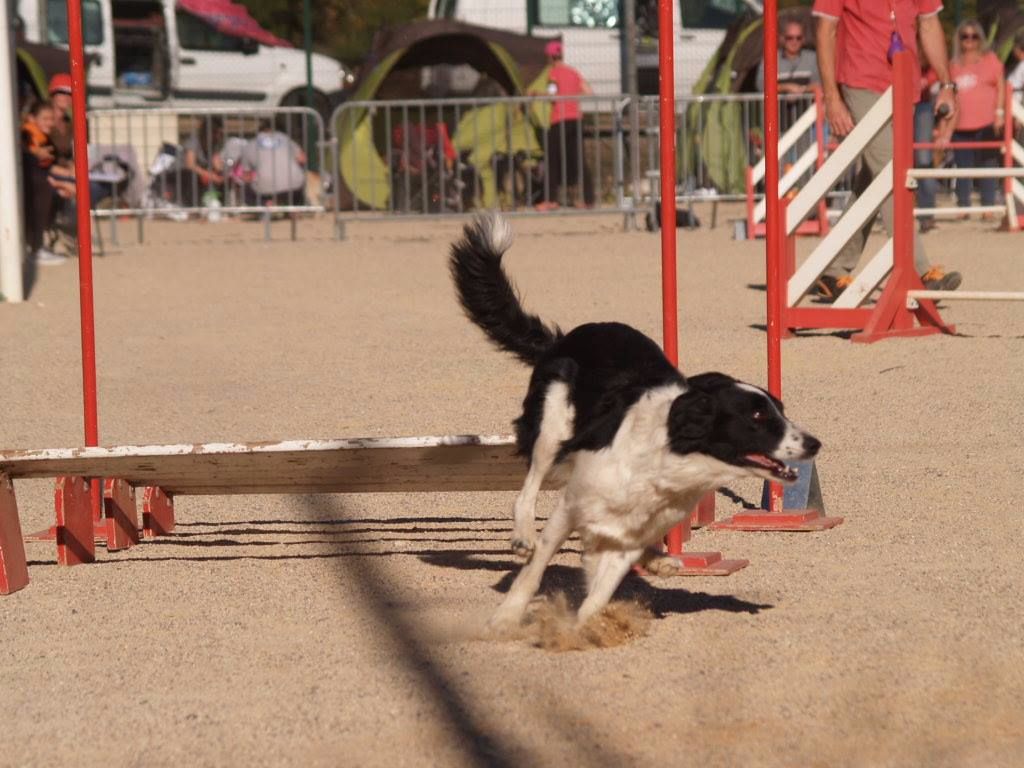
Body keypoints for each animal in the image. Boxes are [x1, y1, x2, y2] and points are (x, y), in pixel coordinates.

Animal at [452, 214, 819, 626]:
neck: (666, 463)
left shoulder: (627, 536)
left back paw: (660, 561)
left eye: (780, 409)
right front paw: (507, 618)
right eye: (756, 414)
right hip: (551, 428)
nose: (814, 443)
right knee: (528, 489)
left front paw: (583, 630)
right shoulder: (572, 505)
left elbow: (597, 598)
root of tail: (564, 338)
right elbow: (536, 568)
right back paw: (522, 536)